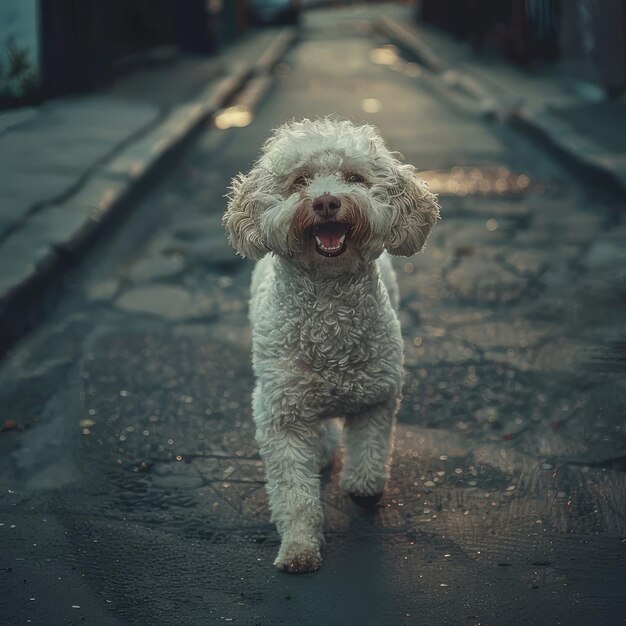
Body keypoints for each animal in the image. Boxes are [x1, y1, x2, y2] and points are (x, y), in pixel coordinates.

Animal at [222, 117, 436, 572]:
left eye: (354, 178)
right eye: (300, 181)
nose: (325, 202)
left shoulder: (378, 396)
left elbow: (369, 460)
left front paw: (363, 489)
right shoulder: (281, 415)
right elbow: (294, 495)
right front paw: (300, 548)